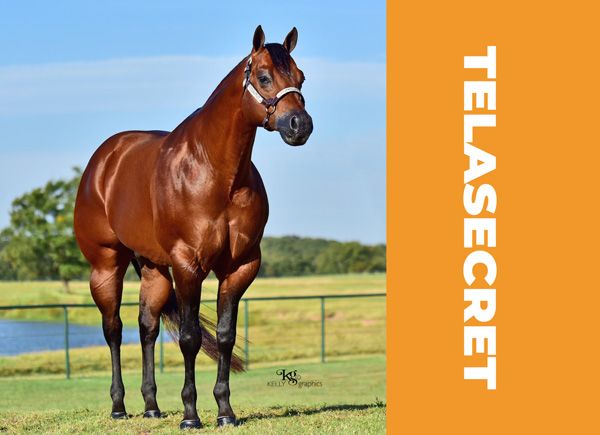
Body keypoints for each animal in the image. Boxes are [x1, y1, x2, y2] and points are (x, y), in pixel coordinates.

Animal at [72, 25, 312, 430]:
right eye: (264, 77)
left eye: (300, 77)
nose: (301, 126)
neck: (215, 174)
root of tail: (104, 160)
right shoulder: (188, 266)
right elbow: (190, 338)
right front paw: (190, 415)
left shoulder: (240, 267)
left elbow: (225, 336)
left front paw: (226, 412)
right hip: (105, 266)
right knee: (114, 329)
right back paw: (119, 406)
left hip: (153, 269)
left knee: (147, 327)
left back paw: (151, 406)